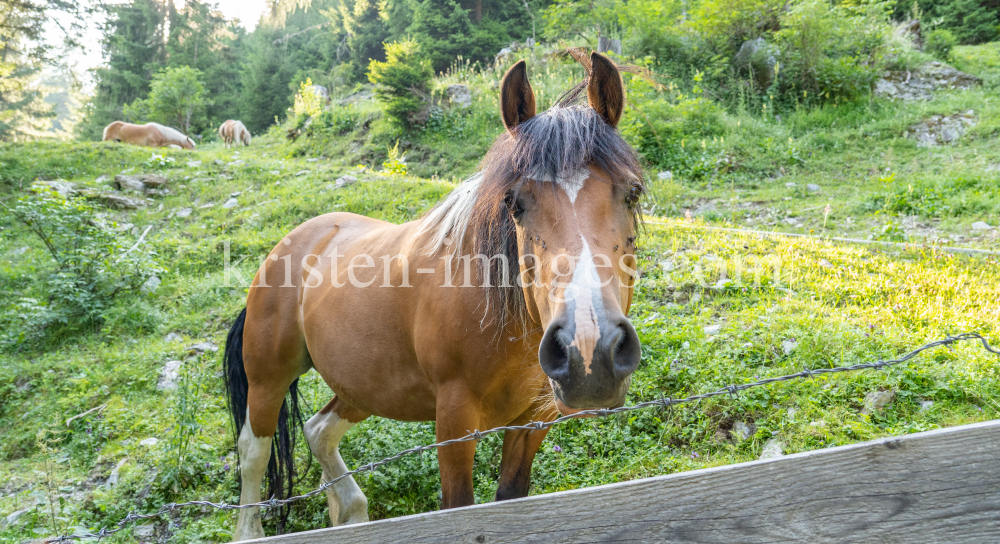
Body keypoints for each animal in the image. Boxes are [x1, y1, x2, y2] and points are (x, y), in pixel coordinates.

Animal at [223, 51, 644, 540]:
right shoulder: (455, 422)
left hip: (361, 385)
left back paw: (351, 511)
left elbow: (509, 498)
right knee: (253, 452)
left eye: (632, 193)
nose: (590, 351)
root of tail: (291, 242)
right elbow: (457, 506)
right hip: (268, 379)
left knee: (319, 430)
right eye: (514, 203)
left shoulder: (531, 422)